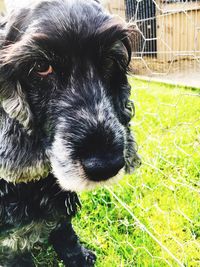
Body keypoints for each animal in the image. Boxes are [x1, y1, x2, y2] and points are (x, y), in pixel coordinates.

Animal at [0, 1, 141, 266]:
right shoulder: (10, 241)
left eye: (109, 60)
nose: (106, 166)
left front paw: (79, 257)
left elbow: (64, 230)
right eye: (41, 67)